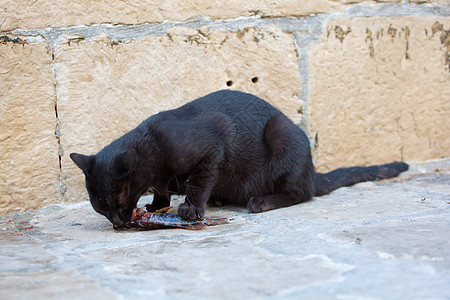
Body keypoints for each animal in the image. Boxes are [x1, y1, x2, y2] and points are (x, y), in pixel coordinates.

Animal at [69, 90, 408, 226]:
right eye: (100, 208)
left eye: (116, 203)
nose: (117, 222)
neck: (152, 145)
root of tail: (314, 171)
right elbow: (162, 190)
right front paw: (155, 205)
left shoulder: (212, 149)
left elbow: (197, 184)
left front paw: (190, 209)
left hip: (282, 135)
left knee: (302, 193)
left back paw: (261, 201)